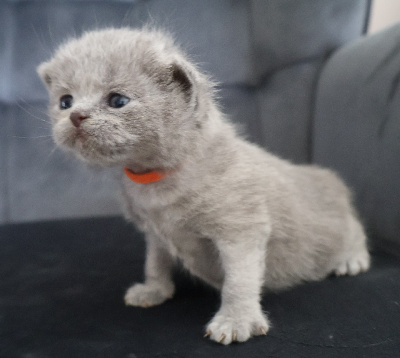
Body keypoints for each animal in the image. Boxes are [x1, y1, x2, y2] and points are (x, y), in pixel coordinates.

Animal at [37, 28, 368, 344]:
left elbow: (239, 280)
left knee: (356, 230)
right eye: (64, 101)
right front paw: (153, 291)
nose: (76, 116)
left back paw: (352, 259)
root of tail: (328, 178)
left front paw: (235, 321)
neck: (154, 182)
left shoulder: (241, 228)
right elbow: (154, 262)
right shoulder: (155, 232)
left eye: (118, 101)